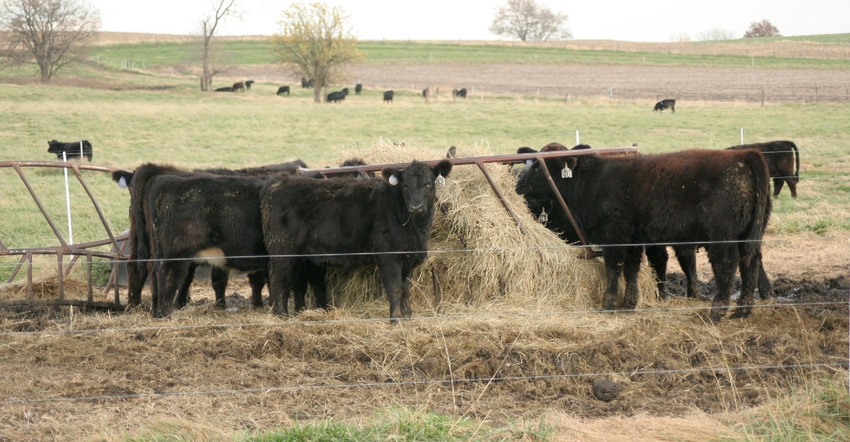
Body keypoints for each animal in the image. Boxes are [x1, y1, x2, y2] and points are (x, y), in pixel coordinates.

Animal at [262, 159, 454, 322]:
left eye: (428, 183)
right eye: (405, 185)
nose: (416, 207)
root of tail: (277, 184)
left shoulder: (408, 257)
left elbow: (405, 288)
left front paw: (407, 316)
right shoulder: (388, 255)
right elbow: (394, 287)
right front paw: (395, 318)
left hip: (298, 254)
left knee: (292, 280)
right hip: (282, 248)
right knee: (278, 278)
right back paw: (280, 315)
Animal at [512, 148, 772, 322]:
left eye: (537, 166)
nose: (518, 185)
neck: (594, 181)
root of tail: (744, 155)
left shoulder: (614, 237)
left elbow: (613, 268)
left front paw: (608, 304)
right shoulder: (634, 239)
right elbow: (631, 269)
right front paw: (629, 303)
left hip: (722, 237)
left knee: (726, 266)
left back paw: (717, 311)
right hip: (749, 236)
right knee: (751, 262)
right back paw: (743, 310)